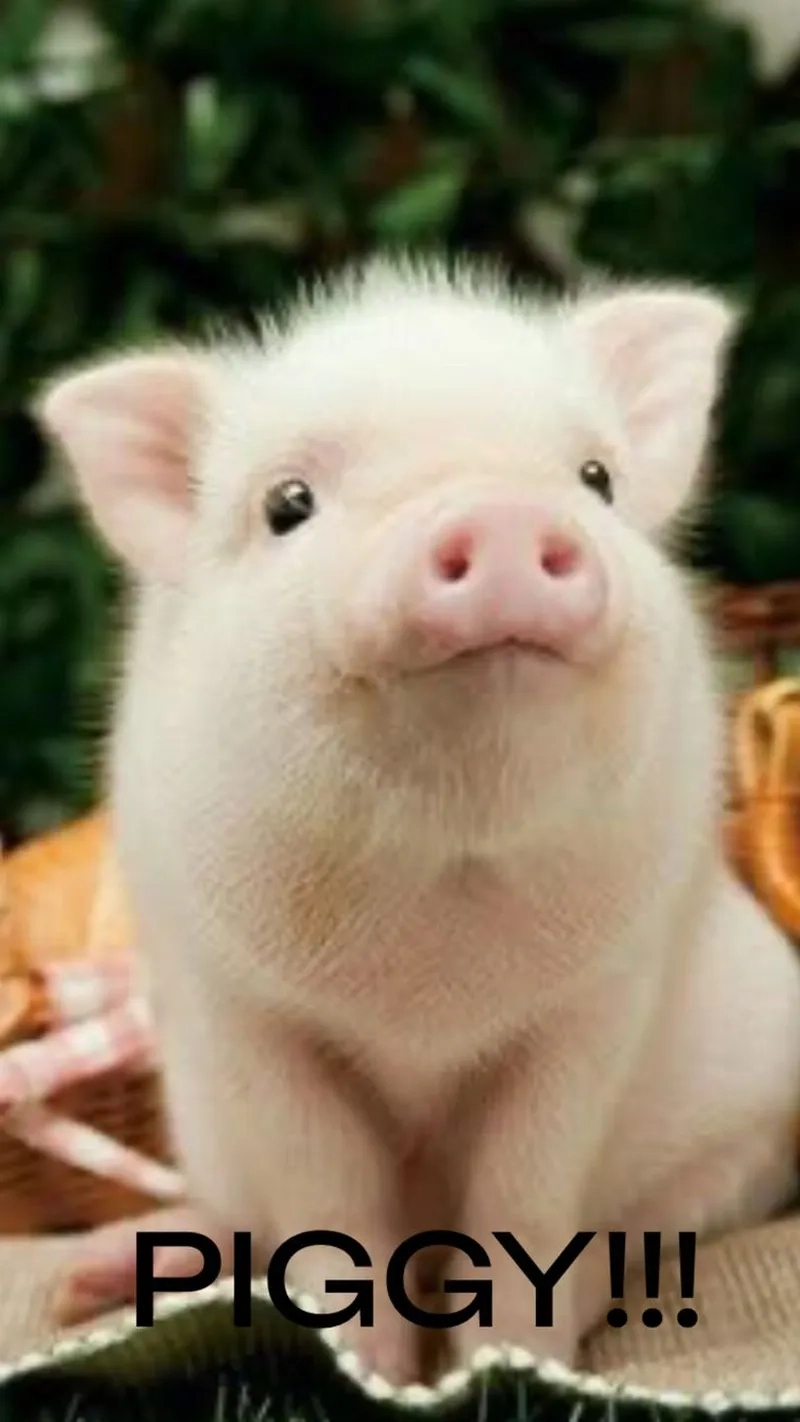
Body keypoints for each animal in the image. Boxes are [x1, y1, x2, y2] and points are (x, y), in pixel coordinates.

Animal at [38, 258, 800, 1385]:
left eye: (596, 479)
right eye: (287, 504)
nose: (499, 513)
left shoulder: (596, 1004)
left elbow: (530, 1191)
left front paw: (509, 1363)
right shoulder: (247, 1016)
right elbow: (328, 1207)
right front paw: (376, 1377)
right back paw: (83, 1282)